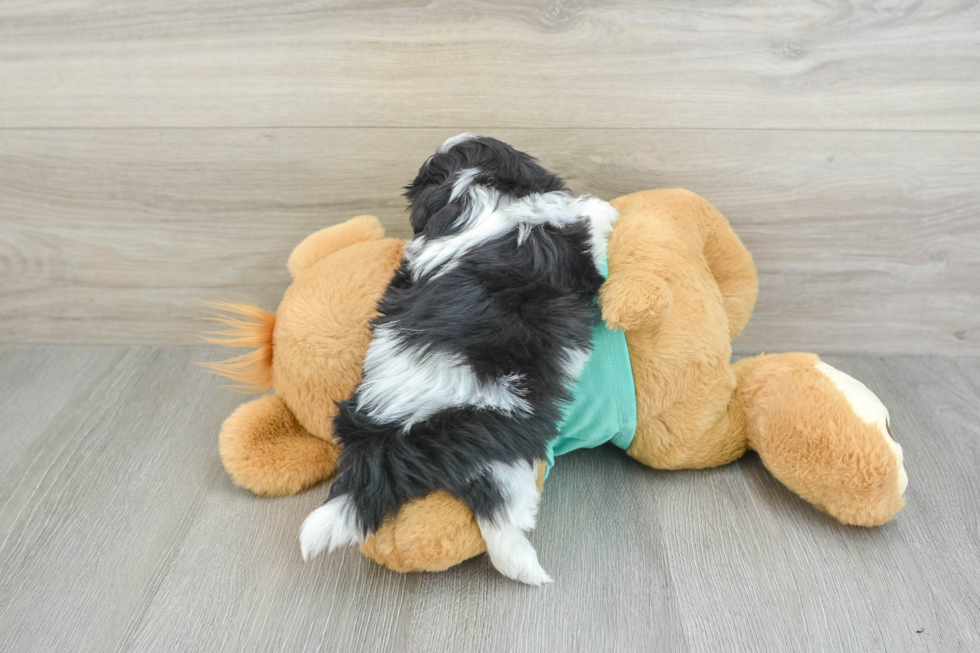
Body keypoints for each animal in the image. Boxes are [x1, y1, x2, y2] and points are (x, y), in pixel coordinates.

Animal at [302, 132, 616, 580]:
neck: (470, 194)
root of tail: (383, 439)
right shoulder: (566, 247)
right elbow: (587, 222)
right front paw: (604, 208)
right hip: (499, 442)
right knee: (501, 516)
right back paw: (527, 567)